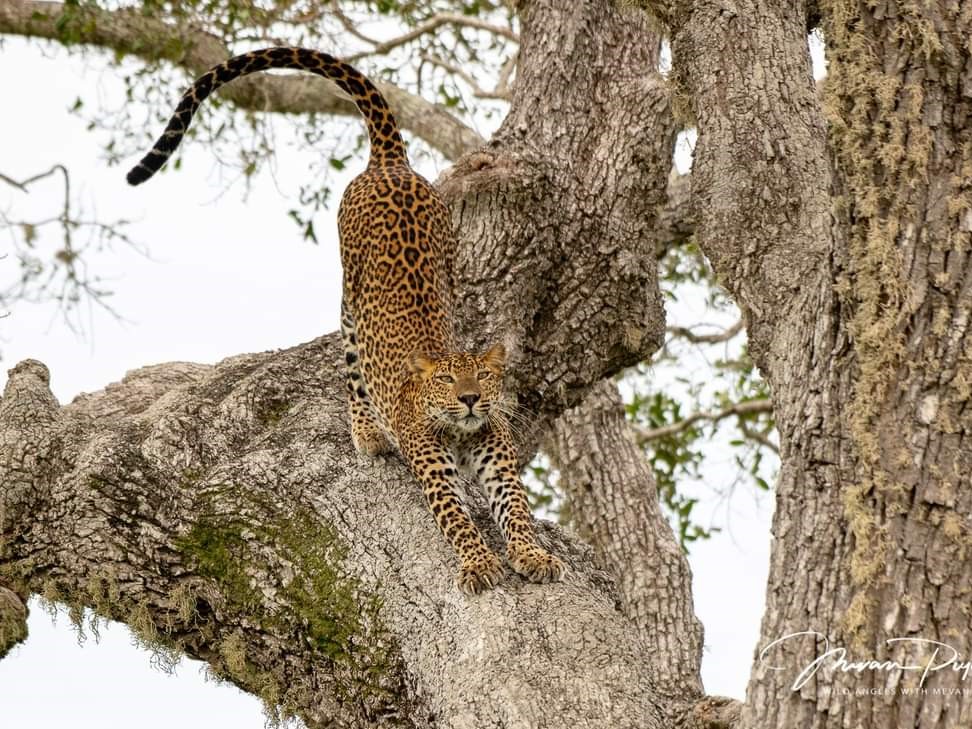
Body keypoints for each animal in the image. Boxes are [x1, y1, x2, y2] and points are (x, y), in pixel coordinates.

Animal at [126, 45, 564, 596]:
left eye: (483, 376)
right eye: (446, 381)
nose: (469, 399)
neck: (460, 431)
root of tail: (390, 163)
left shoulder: (498, 462)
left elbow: (517, 511)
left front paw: (532, 554)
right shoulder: (436, 470)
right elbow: (457, 520)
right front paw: (480, 563)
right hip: (349, 300)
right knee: (352, 368)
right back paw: (367, 432)